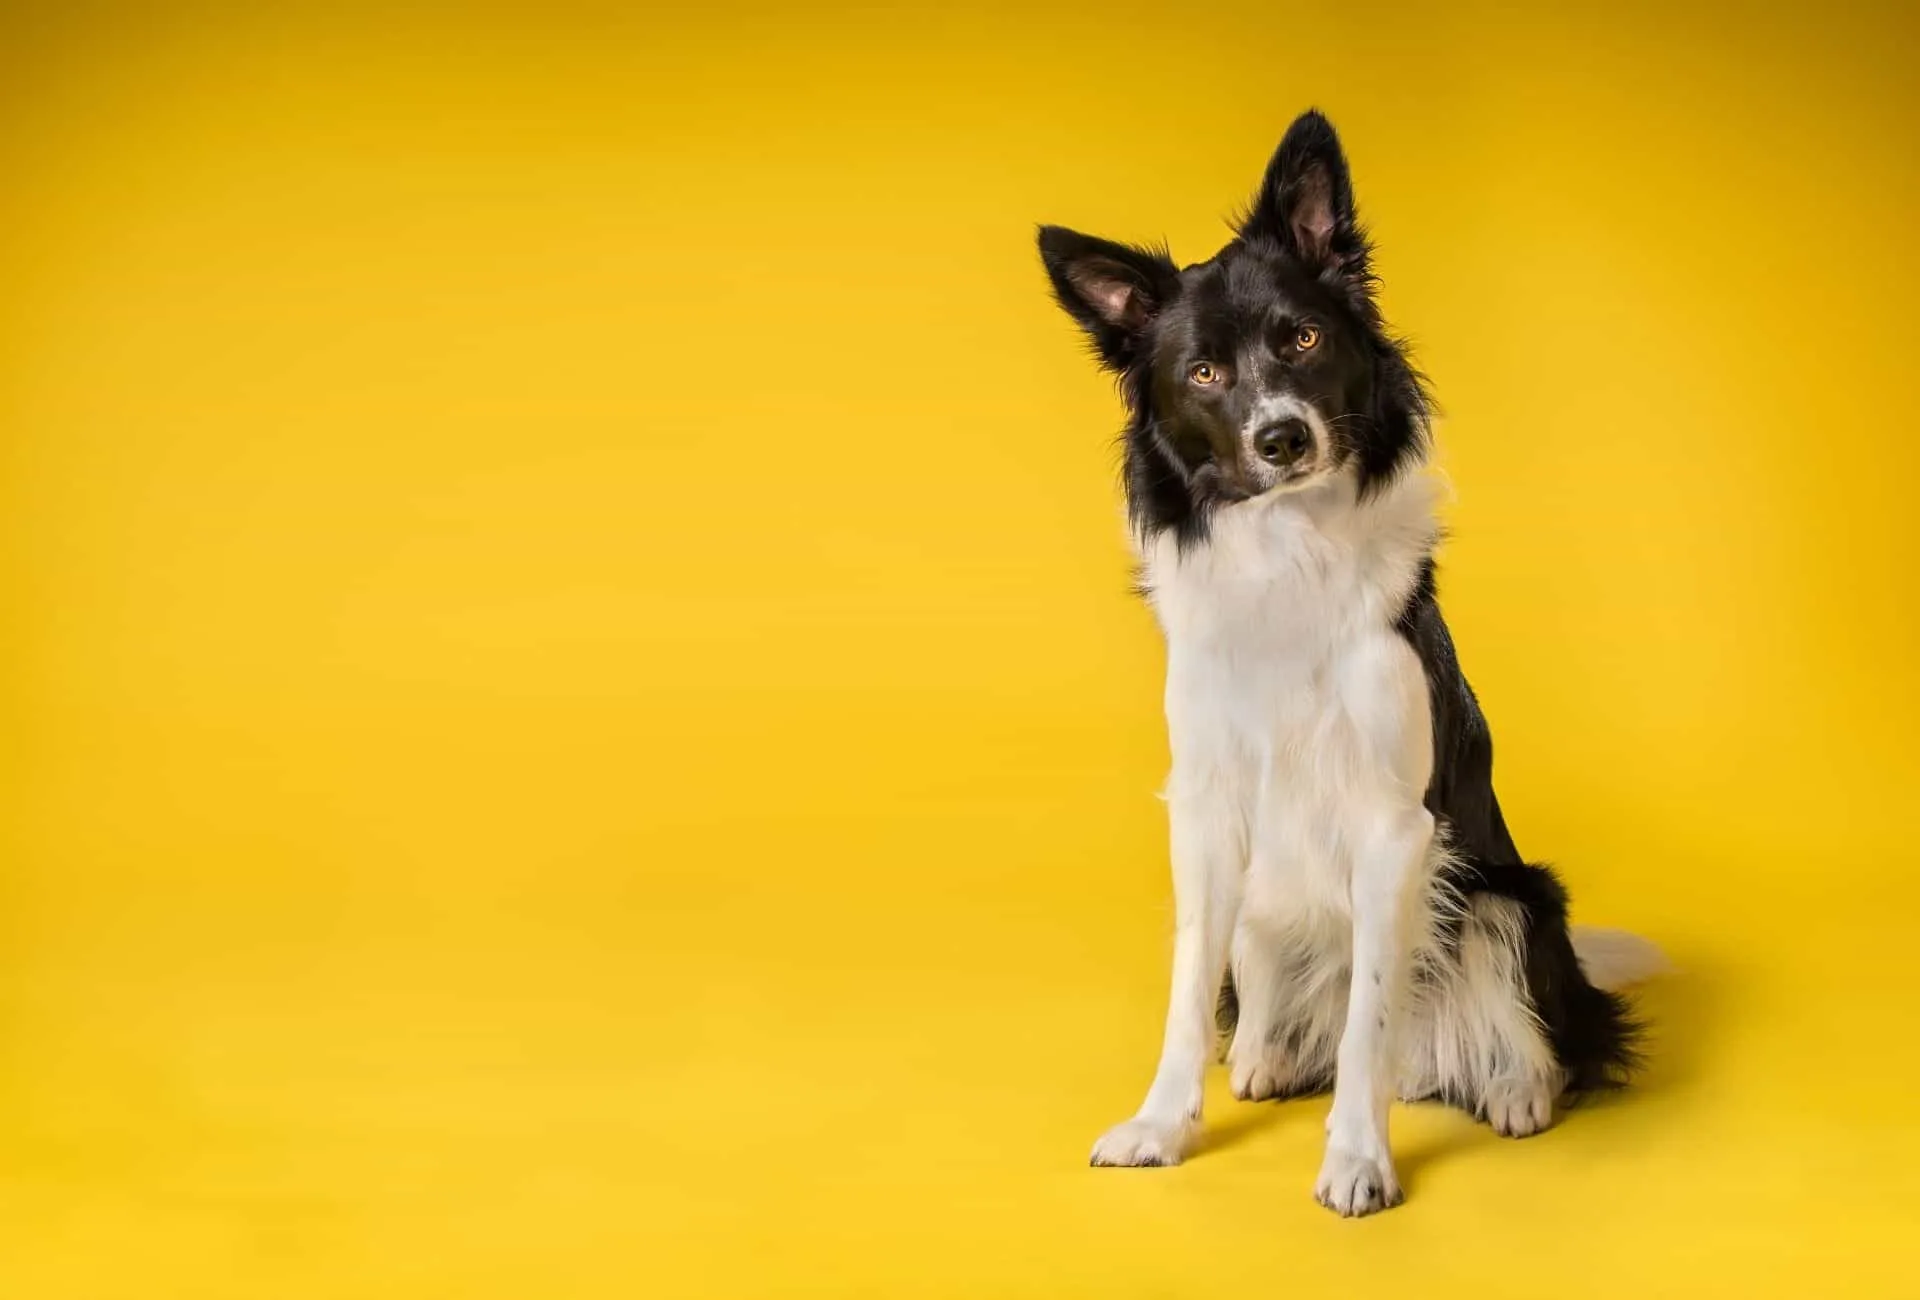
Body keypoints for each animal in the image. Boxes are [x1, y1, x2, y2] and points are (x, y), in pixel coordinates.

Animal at [1044, 111, 1658, 1213]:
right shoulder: (1207, 810)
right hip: (1271, 906)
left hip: (1511, 896)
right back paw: (1269, 1054)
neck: (1289, 550)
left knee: (1512, 1023)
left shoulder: (1393, 825)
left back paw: (1516, 1087)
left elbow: (1373, 1019)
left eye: (1303, 336)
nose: (1283, 437)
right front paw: (1162, 1125)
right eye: (1202, 374)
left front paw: (1359, 1161)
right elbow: (1188, 990)